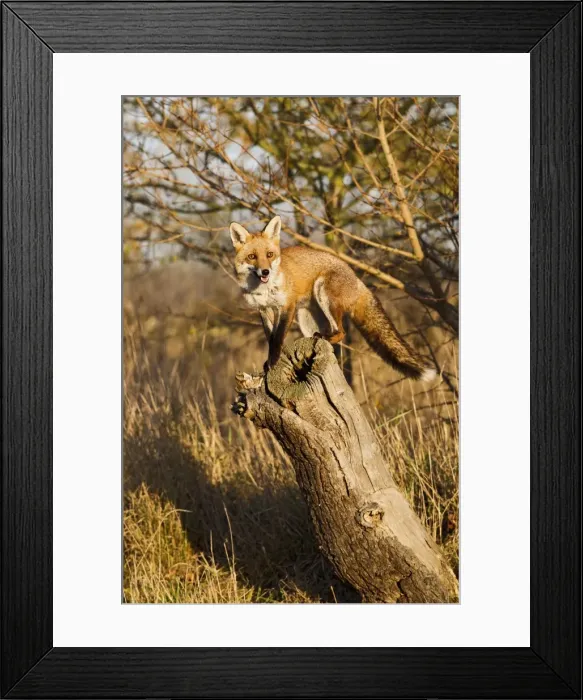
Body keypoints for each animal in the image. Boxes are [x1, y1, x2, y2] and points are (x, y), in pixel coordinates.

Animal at [230, 215, 436, 381]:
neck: (263, 290)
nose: (265, 271)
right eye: (252, 256)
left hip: (323, 294)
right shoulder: (264, 310)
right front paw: (270, 361)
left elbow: (278, 337)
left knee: (341, 332)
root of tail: (357, 279)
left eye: (270, 255)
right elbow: (270, 338)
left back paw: (326, 338)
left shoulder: (286, 306)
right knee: (331, 335)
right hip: (306, 318)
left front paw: (272, 362)